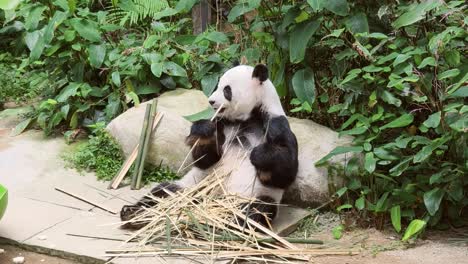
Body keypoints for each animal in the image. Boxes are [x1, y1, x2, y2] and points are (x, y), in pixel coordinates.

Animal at [119, 63, 296, 229]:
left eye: (227, 90)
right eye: (217, 85)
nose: (211, 101)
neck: (246, 118)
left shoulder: (275, 124)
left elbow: (284, 173)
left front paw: (260, 155)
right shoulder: (222, 124)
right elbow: (205, 159)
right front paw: (203, 131)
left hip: (254, 194)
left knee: (256, 209)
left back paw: (226, 223)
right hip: (191, 185)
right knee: (164, 190)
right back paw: (133, 213)